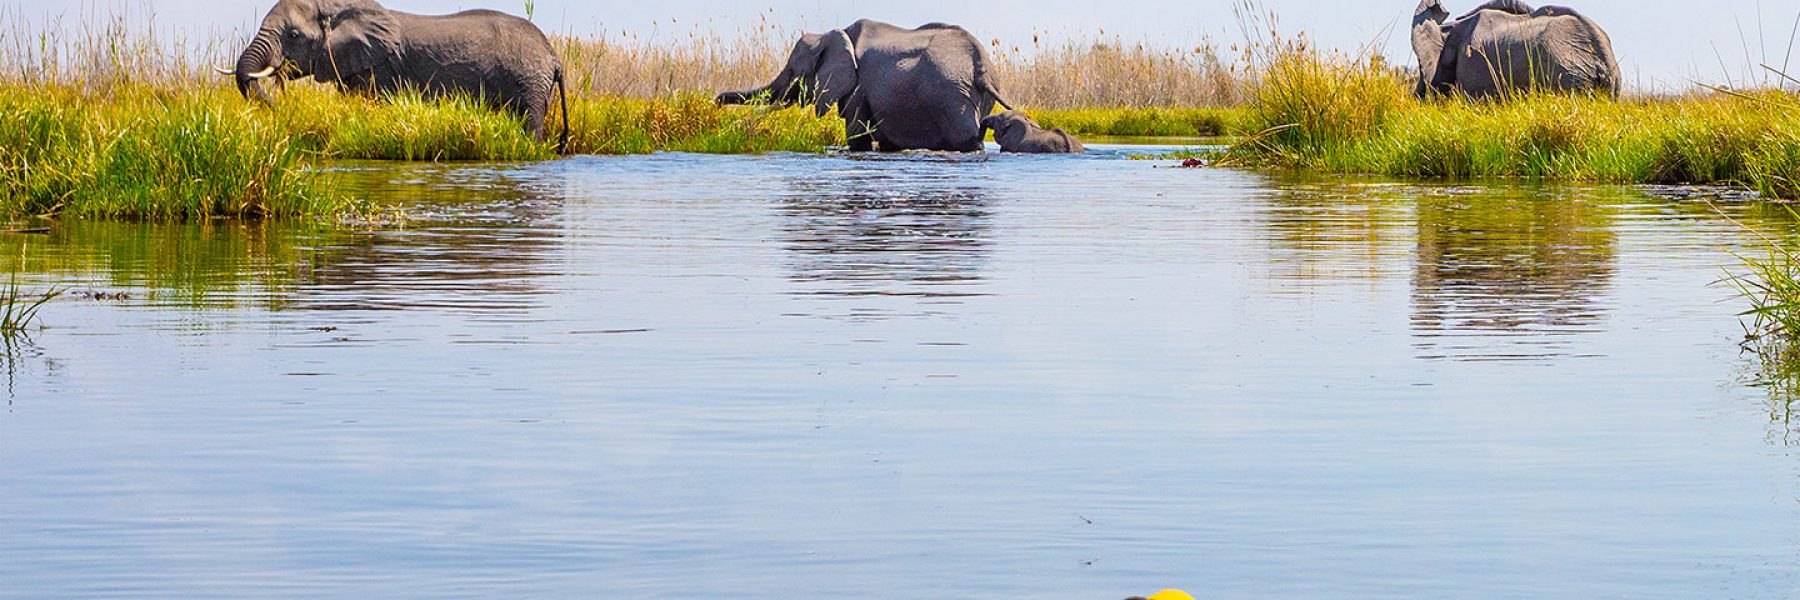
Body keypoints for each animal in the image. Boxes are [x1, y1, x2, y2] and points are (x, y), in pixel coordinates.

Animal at [224, 0, 565, 149]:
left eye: (293, 35)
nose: (278, 108)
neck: (337, 6)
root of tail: (554, 56)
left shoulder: (379, 67)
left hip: (530, 80)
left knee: (529, 121)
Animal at [720, 19, 1029, 153]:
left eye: (793, 72)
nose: (716, 99)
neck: (833, 33)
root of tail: (980, 65)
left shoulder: (858, 86)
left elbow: (857, 134)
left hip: (952, 95)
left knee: (966, 139)